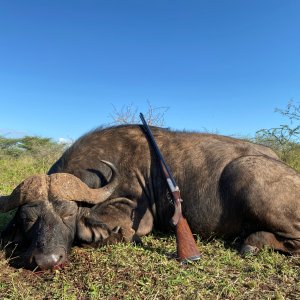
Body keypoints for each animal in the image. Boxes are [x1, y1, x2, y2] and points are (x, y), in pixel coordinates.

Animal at [0, 124, 300, 270]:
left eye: (68, 213)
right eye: (28, 219)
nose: (46, 260)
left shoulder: (133, 213)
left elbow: (93, 231)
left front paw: (116, 235)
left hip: (246, 173)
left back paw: (252, 243)